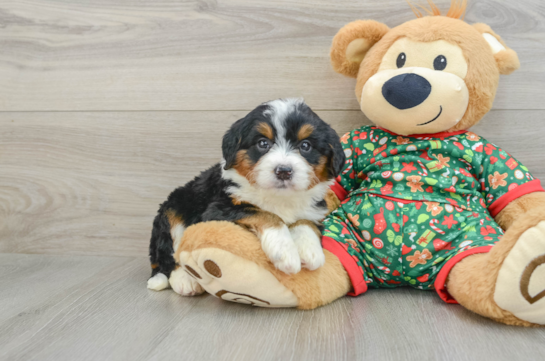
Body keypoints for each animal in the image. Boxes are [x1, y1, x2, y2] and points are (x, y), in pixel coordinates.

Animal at [148, 97, 344, 294]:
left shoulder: (315, 209)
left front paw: (310, 251)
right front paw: (284, 251)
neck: (279, 197)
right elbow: (265, 214)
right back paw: (184, 280)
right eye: (263, 143)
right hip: (173, 208)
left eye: (305, 146)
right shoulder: (218, 209)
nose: (283, 171)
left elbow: (306, 221)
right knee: (169, 255)